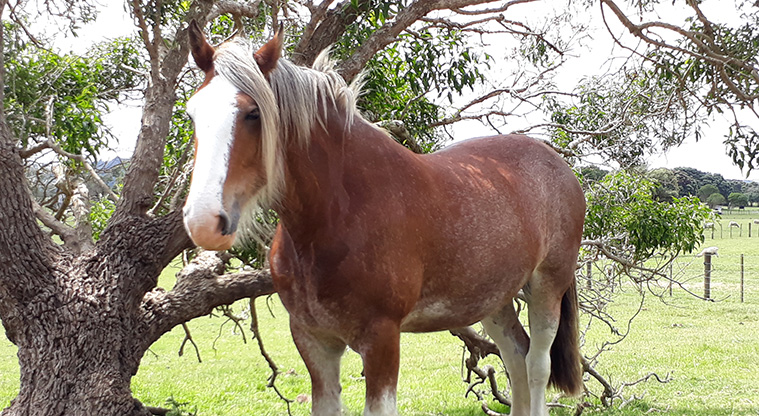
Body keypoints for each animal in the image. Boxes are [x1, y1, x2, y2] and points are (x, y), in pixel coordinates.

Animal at [182, 22, 585, 416]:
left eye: (253, 113)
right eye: (192, 113)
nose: (204, 221)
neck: (340, 210)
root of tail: (557, 163)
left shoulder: (381, 339)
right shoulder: (314, 341)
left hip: (546, 287)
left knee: (536, 365)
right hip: (493, 298)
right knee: (516, 357)